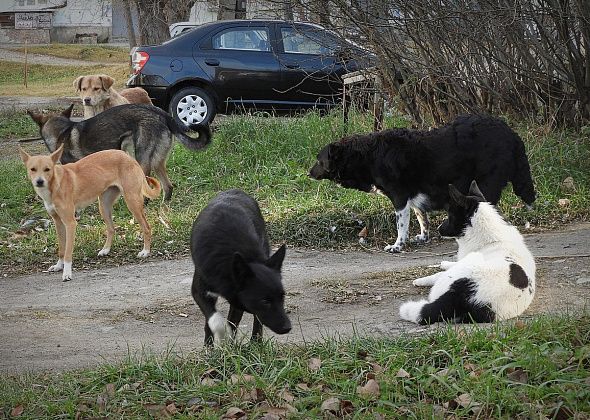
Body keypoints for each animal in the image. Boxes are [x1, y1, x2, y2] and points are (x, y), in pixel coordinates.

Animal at [19, 145, 161, 282]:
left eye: (47, 169)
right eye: (33, 169)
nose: (39, 181)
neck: (55, 185)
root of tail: (127, 156)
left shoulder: (70, 223)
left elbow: (68, 252)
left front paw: (67, 273)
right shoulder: (58, 222)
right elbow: (61, 249)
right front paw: (59, 266)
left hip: (132, 202)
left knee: (146, 227)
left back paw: (145, 251)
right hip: (103, 206)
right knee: (111, 229)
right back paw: (105, 250)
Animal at [191, 189, 292, 344]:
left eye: (282, 297)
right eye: (264, 301)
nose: (288, 327)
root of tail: (235, 190)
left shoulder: (238, 301)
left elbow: (232, 323)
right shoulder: (199, 291)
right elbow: (217, 321)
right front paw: (220, 342)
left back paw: (256, 342)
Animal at [312, 115, 540, 251]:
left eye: (319, 160)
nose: (308, 172)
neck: (368, 156)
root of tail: (512, 134)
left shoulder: (399, 197)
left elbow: (401, 225)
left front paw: (397, 246)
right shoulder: (413, 197)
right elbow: (422, 218)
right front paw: (423, 237)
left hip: (486, 184)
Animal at [402, 181, 536, 324]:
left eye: (450, 215)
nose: (438, 229)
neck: (493, 239)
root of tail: (464, 295)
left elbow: (438, 273)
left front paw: (421, 280)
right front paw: (445, 263)